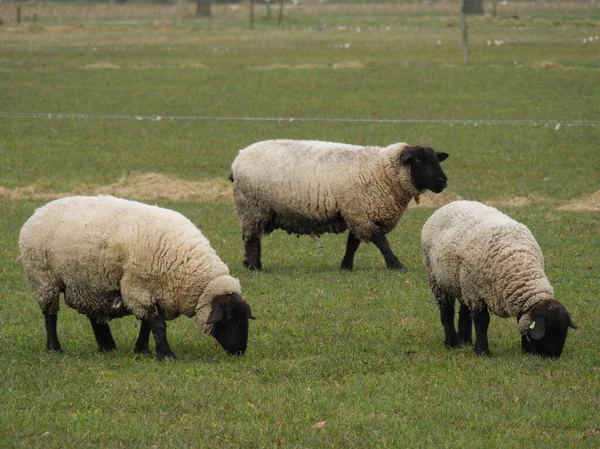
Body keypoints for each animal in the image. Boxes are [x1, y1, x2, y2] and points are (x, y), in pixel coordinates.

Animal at [18, 194, 253, 358]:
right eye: (230, 318)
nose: (239, 351)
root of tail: (38, 212)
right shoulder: (138, 288)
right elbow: (157, 324)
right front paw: (166, 355)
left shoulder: (153, 291)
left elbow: (147, 324)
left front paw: (142, 350)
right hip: (44, 279)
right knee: (50, 316)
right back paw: (54, 348)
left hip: (91, 283)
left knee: (95, 316)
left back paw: (107, 346)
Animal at [230, 138, 450, 270]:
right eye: (419, 160)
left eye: (436, 159)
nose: (443, 181)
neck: (382, 170)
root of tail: (237, 159)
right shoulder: (361, 213)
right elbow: (381, 241)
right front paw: (396, 265)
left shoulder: (356, 212)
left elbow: (353, 243)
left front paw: (346, 266)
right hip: (252, 206)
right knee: (251, 239)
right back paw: (255, 267)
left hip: (259, 210)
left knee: (253, 238)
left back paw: (250, 264)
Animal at [420, 200, 576, 356]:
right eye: (548, 330)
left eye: (564, 330)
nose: (553, 357)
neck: (519, 266)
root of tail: (452, 203)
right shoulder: (476, 294)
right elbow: (482, 322)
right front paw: (482, 351)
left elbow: (520, 322)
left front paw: (525, 349)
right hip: (437, 279)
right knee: (447, 311)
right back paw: (451, 342)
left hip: (461, 282)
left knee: (464, 309)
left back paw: (465, 341)